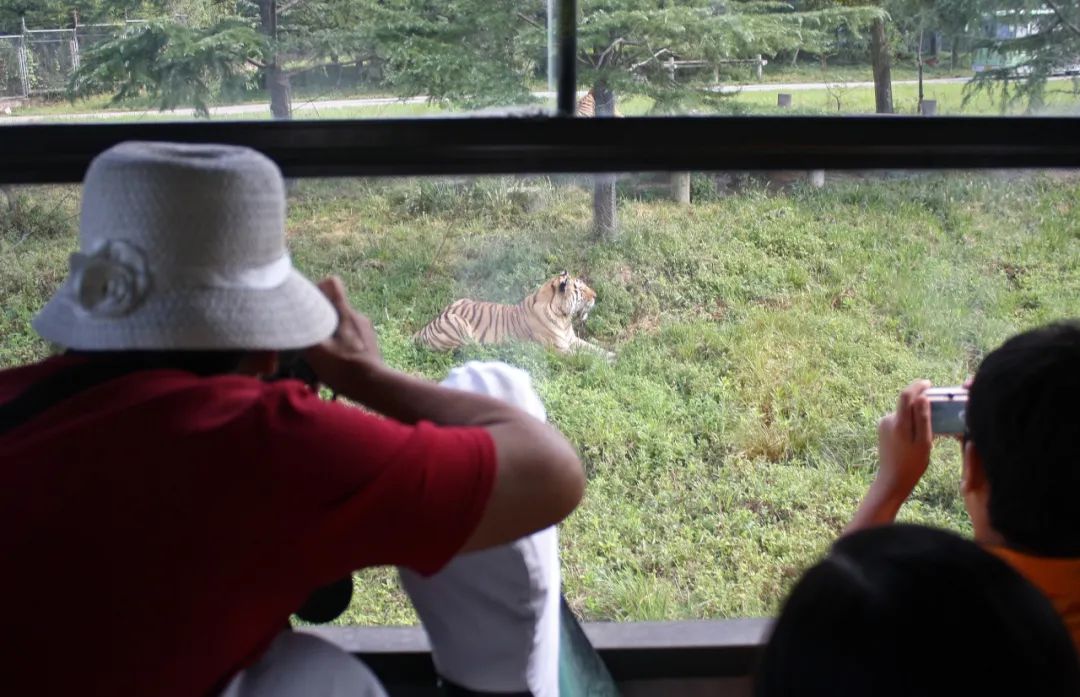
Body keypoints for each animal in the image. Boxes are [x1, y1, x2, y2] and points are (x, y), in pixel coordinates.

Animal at [412, 270, 617, 360]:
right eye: (580, 290)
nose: (596, 296)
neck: (564, 318)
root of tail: (424, 328)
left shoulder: (572, 340)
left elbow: (594, 348)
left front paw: (614, 354)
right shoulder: (559, 350)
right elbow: (587, 356)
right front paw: (611, 362)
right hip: (458, 325)